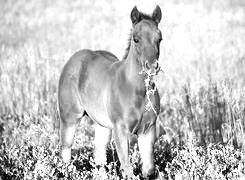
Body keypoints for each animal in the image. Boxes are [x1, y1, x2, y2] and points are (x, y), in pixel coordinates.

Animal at [58, 4, 163, 179]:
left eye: (159, 38)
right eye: (136, 39)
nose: (152, 67)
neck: (137, 91)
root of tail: (74, 59)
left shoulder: (148, 129)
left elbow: (149, 169)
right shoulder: (120, 129)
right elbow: (127, 169)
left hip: (103, 125)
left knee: (99, 156)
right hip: (70, 118)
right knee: (66, 152)